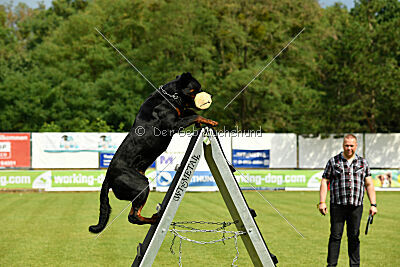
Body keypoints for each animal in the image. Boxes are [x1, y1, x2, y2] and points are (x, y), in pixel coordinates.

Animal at [89, 73, 217, 234]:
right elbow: (194, 116)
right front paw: (208, 120)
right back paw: (155, 219)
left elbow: (191, 113)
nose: (210, 95)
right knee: (133, 217)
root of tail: (108, 177)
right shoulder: (172, 125)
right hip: (141, 185)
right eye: (197, 88)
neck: (169, 97)